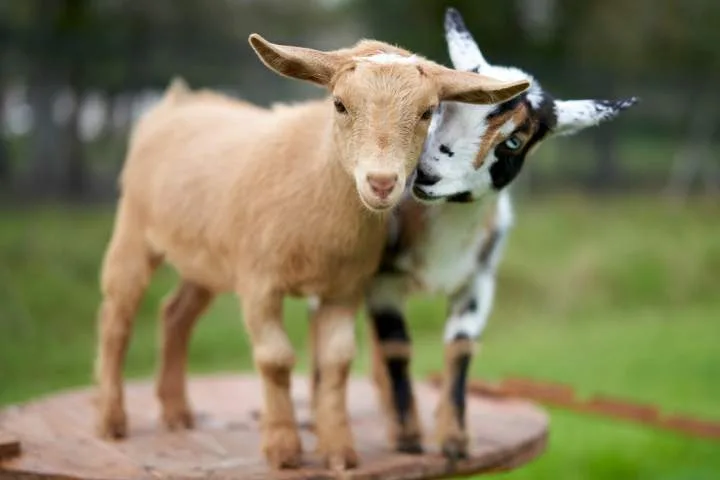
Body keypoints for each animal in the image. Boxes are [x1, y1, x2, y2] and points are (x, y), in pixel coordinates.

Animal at [92, 32, 530, 471]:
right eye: (339, 104)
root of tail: (178, 101)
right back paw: (111, 421)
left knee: (175, 314)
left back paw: (177, 412)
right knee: (117, 318)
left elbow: (337, 361)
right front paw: (283, 449)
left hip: (206, 259)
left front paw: (339, 451)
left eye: (427, 111)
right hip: (133, 229)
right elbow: (276, 358)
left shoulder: (344, 289)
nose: (382, 183)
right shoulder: (259, 283)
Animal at [358, 8, 639, 459]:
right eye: (440, 107)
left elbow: (461, 346)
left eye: (514, 141)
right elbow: (397, 346)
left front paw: (455, 440)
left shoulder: (478, 281)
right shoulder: (382, 280)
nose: (426, 175)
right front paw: (407, 437)